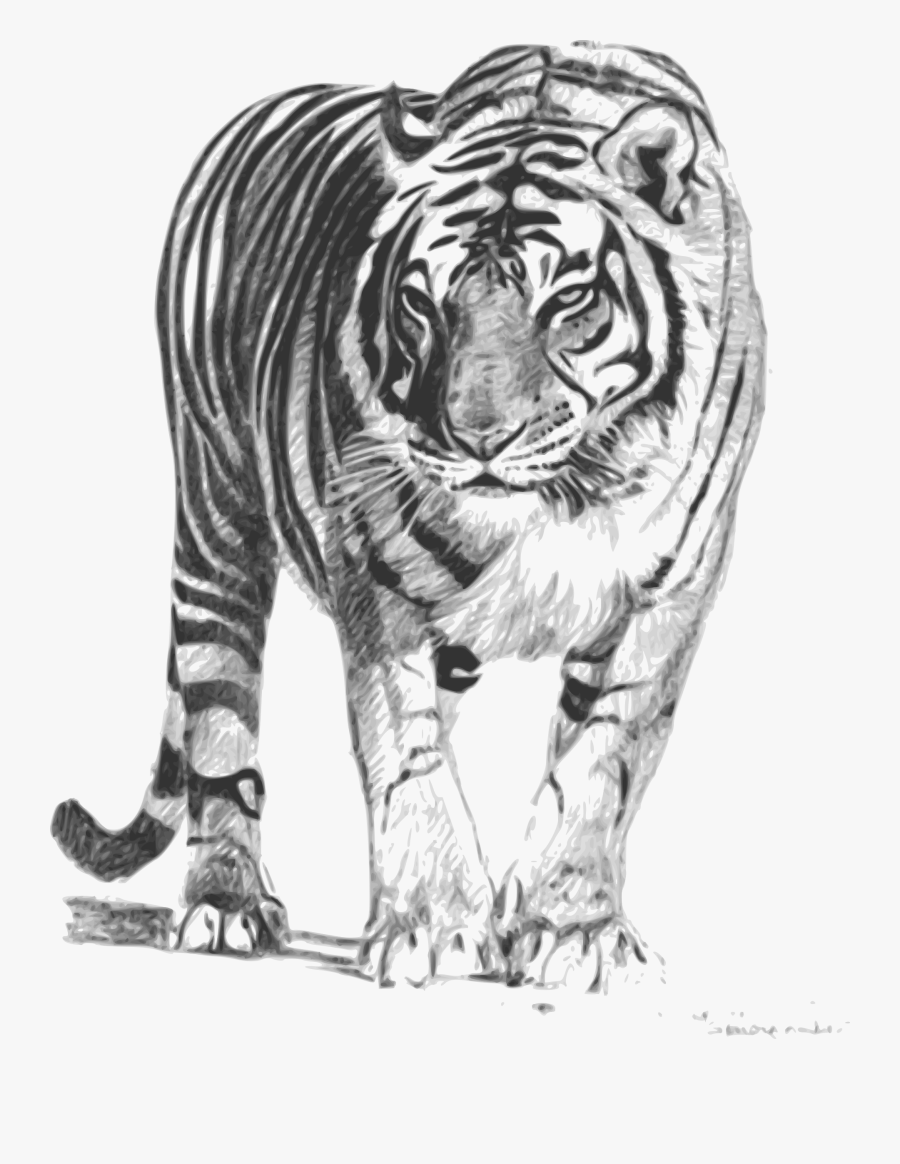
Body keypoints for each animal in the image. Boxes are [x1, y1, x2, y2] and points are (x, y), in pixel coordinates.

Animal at [52, 41, 764, 989]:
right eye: (424, 303)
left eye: (568, 300)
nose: (477, 438)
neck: (565, 495)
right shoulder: (376, 576)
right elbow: (405, 751)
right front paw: (432, 926)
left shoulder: (668, 592)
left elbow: (602, 762)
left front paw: (571, 930)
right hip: (215, 515)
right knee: (219, 727)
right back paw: (227, 904)